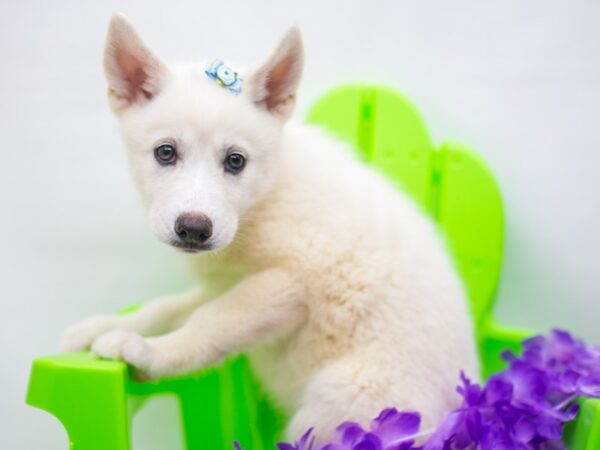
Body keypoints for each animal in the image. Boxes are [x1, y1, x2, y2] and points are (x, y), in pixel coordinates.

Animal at [62, 13, 478, 442]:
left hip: (333, 408)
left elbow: (210, 324)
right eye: (166, 152)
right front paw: (101, 327)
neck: (260, 203)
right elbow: (165, 306)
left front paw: (147, 352)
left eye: (235, 161)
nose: (193, 229)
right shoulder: (228, 280)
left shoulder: (288, 283)